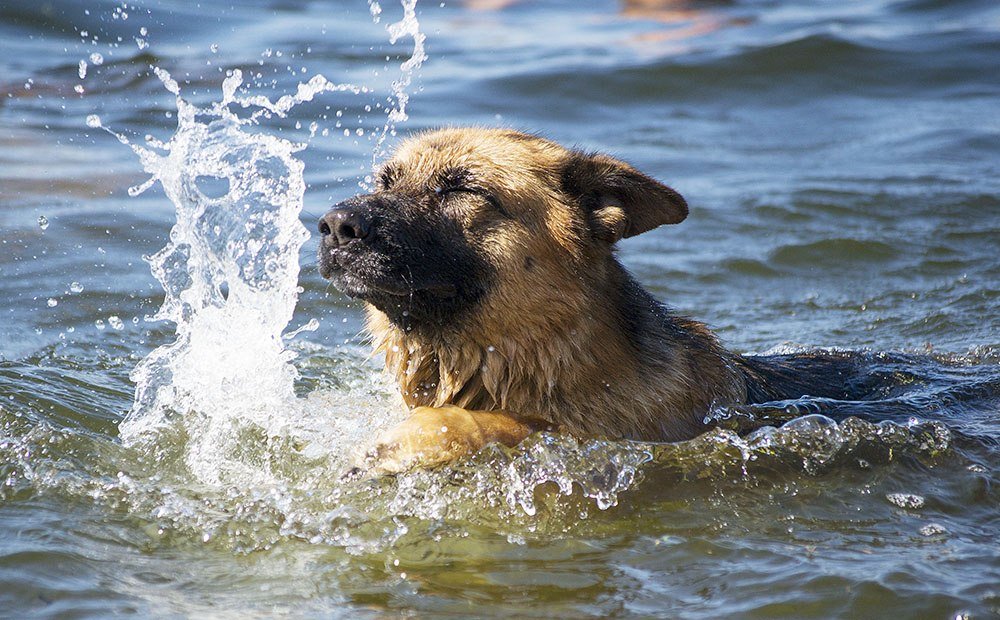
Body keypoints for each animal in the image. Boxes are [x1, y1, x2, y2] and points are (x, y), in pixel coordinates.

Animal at [320, 128, 876, 472]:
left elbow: (514, 425)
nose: (333, 226)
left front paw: (411, 439)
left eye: (462, 190)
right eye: (384, 181)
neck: (552, 356)